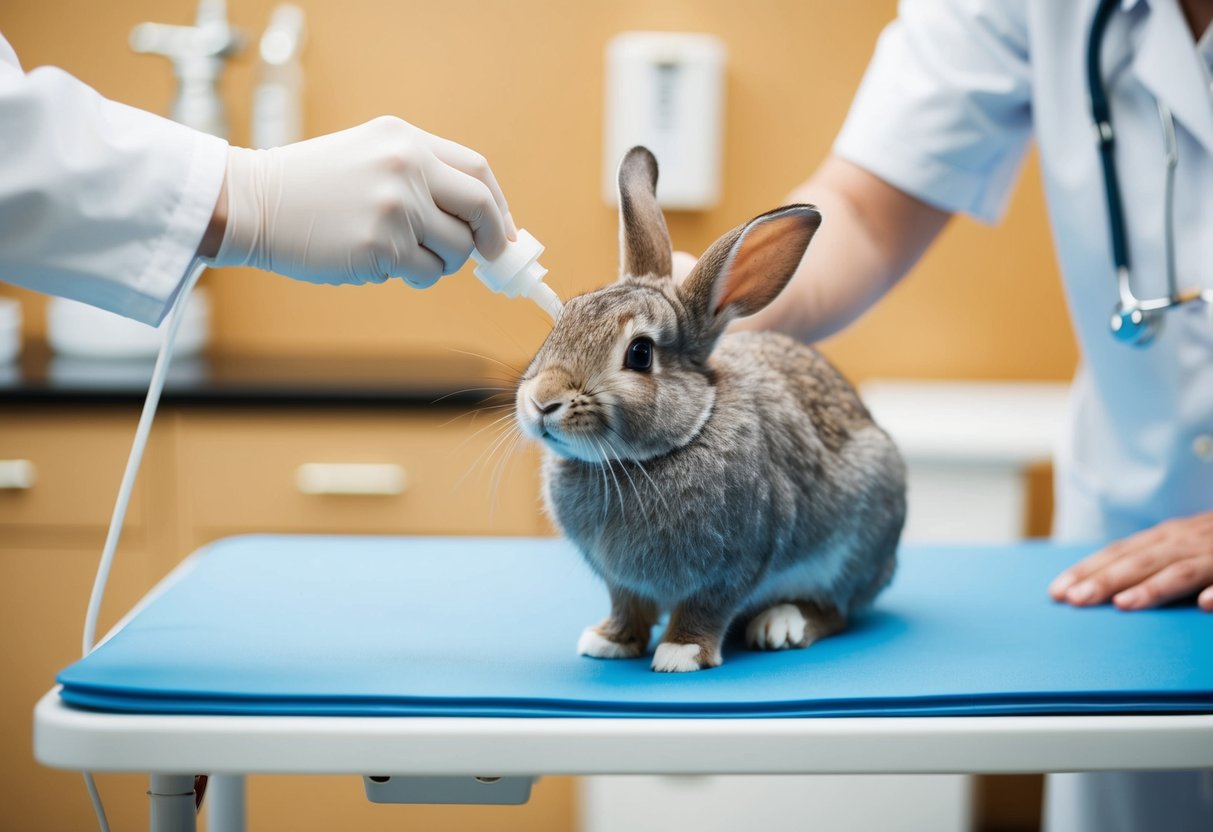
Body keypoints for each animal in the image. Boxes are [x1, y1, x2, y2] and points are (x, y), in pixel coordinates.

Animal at [516, 146, 907, 674]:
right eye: (565, 318)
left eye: (640, 353)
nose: (542, 401)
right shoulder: (621, 583)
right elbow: (627, 607)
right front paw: (608, 641)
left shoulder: (734, 564)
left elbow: (706, 610)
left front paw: (680, 653)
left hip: (855, 545)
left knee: (837, 610)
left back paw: (780, 624)